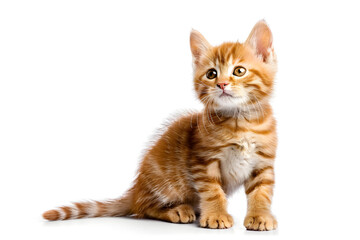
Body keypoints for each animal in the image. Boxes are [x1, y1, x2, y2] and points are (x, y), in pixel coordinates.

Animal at [43, 20, 278, 231]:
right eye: (211, 74)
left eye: (239, 71)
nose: (221, 84)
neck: (241, 122)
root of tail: (136, 190)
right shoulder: (203, 161)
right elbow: (212, 191)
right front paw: (216, 215)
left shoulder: (263, 163)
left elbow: (262, 193)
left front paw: (260, 216)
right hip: (168, 185)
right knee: (143, 209)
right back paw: (178, 210)